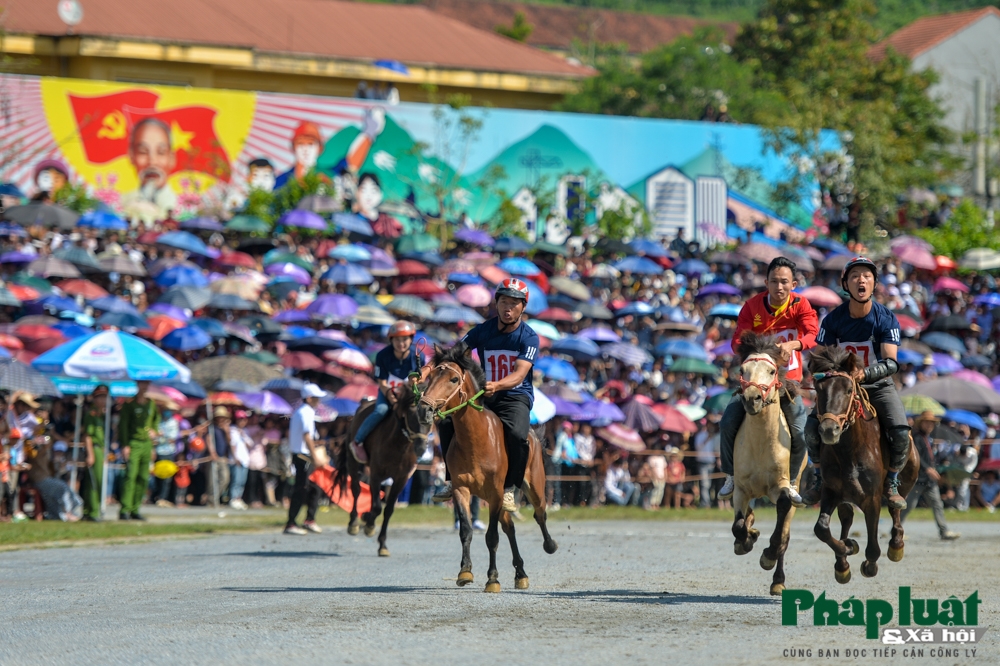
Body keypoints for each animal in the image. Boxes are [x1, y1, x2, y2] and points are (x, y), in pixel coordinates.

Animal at [336, 378, 434, 556]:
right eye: (413, 414)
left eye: (433, 416)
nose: (421, 448)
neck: (398, 444)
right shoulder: (376, 474)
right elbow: (376, 506)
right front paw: (369, 525)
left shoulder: (401, 479)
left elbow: (388, 509)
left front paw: (382, 545)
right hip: (353, 461)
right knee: (356, 489)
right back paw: (354, 523)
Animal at [416, 342, 556, 592]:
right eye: (430, 376)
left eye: (454, 379)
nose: (424, 410)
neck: (476, 440)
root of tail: (534, 436)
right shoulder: (462, 489)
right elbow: (466, 531)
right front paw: (465, 572)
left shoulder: (496, 493)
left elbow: (491, 537)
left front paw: (492, 579)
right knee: (510, 528)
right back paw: (520, 573)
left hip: (534, 489)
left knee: (540, 515)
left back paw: (549, 545)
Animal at [732, 332, 808, 596]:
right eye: (742, 369)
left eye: (772, 371)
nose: (752, 399)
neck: (761, 443)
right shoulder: (741, 489)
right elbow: (738, 525)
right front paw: (746, 539)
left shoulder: (780, 487)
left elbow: (782, 513)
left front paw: (768, 555)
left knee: (785, 534)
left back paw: (778, 580)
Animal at [808, 344, 916, 584]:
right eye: (818, 389)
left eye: (849, 389)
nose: (829, 430)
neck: (849, 450)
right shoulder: (831, 491)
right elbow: (821, 528)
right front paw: (847, 548)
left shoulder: (871, 498)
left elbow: (873, 546)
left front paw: (869, 564)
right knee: (847, 517)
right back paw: (843, 563)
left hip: (907, 476)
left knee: (896, 507)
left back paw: (896, 545)